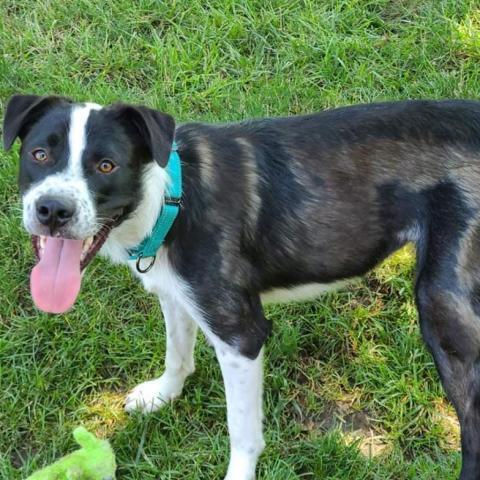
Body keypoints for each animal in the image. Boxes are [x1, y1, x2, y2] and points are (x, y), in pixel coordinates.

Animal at [2, 94, 480, 480]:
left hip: (446, 310)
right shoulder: (178, 297)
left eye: (106, 165)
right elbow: (177, 355)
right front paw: (162, 395)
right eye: (39, 154)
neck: (171, 200)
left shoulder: (241, 336)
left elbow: (243, 431)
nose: (52, 210)